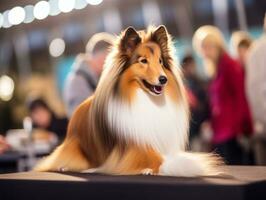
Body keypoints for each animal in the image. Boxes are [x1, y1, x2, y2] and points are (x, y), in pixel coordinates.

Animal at [34, 25, 222, 177]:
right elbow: (155, 158)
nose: (163, 79)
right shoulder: (131, 149)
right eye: (143, 61)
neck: (146, 99)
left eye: (160, 61)